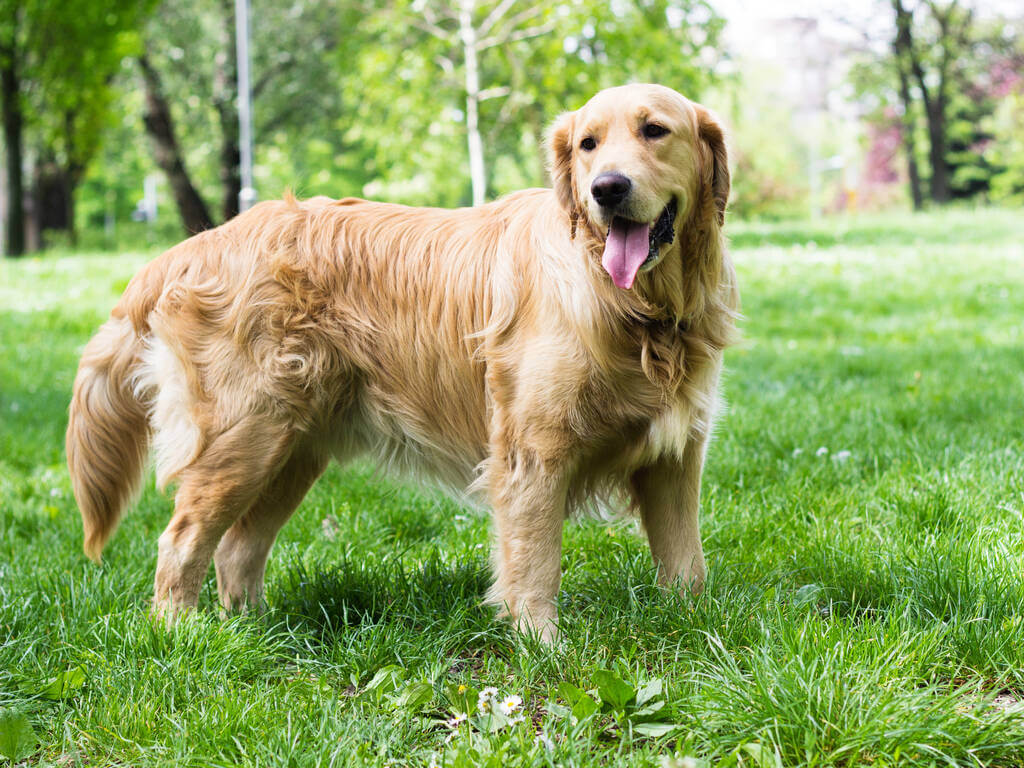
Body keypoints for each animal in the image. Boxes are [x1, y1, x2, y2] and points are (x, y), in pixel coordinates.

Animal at [68, 83, 737, 638]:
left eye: (655, 130)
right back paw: (180, 636)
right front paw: (543, 647)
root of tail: (200, 242)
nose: (606, 189)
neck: (639, 309)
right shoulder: (534, 453)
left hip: (290, 448)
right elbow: (535, 562)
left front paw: (695, 626)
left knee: (236, 549)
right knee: (180, 541)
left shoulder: (677, 456)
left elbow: (687, 561)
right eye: (587, 144)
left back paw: (255, 633)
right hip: (243, 438)